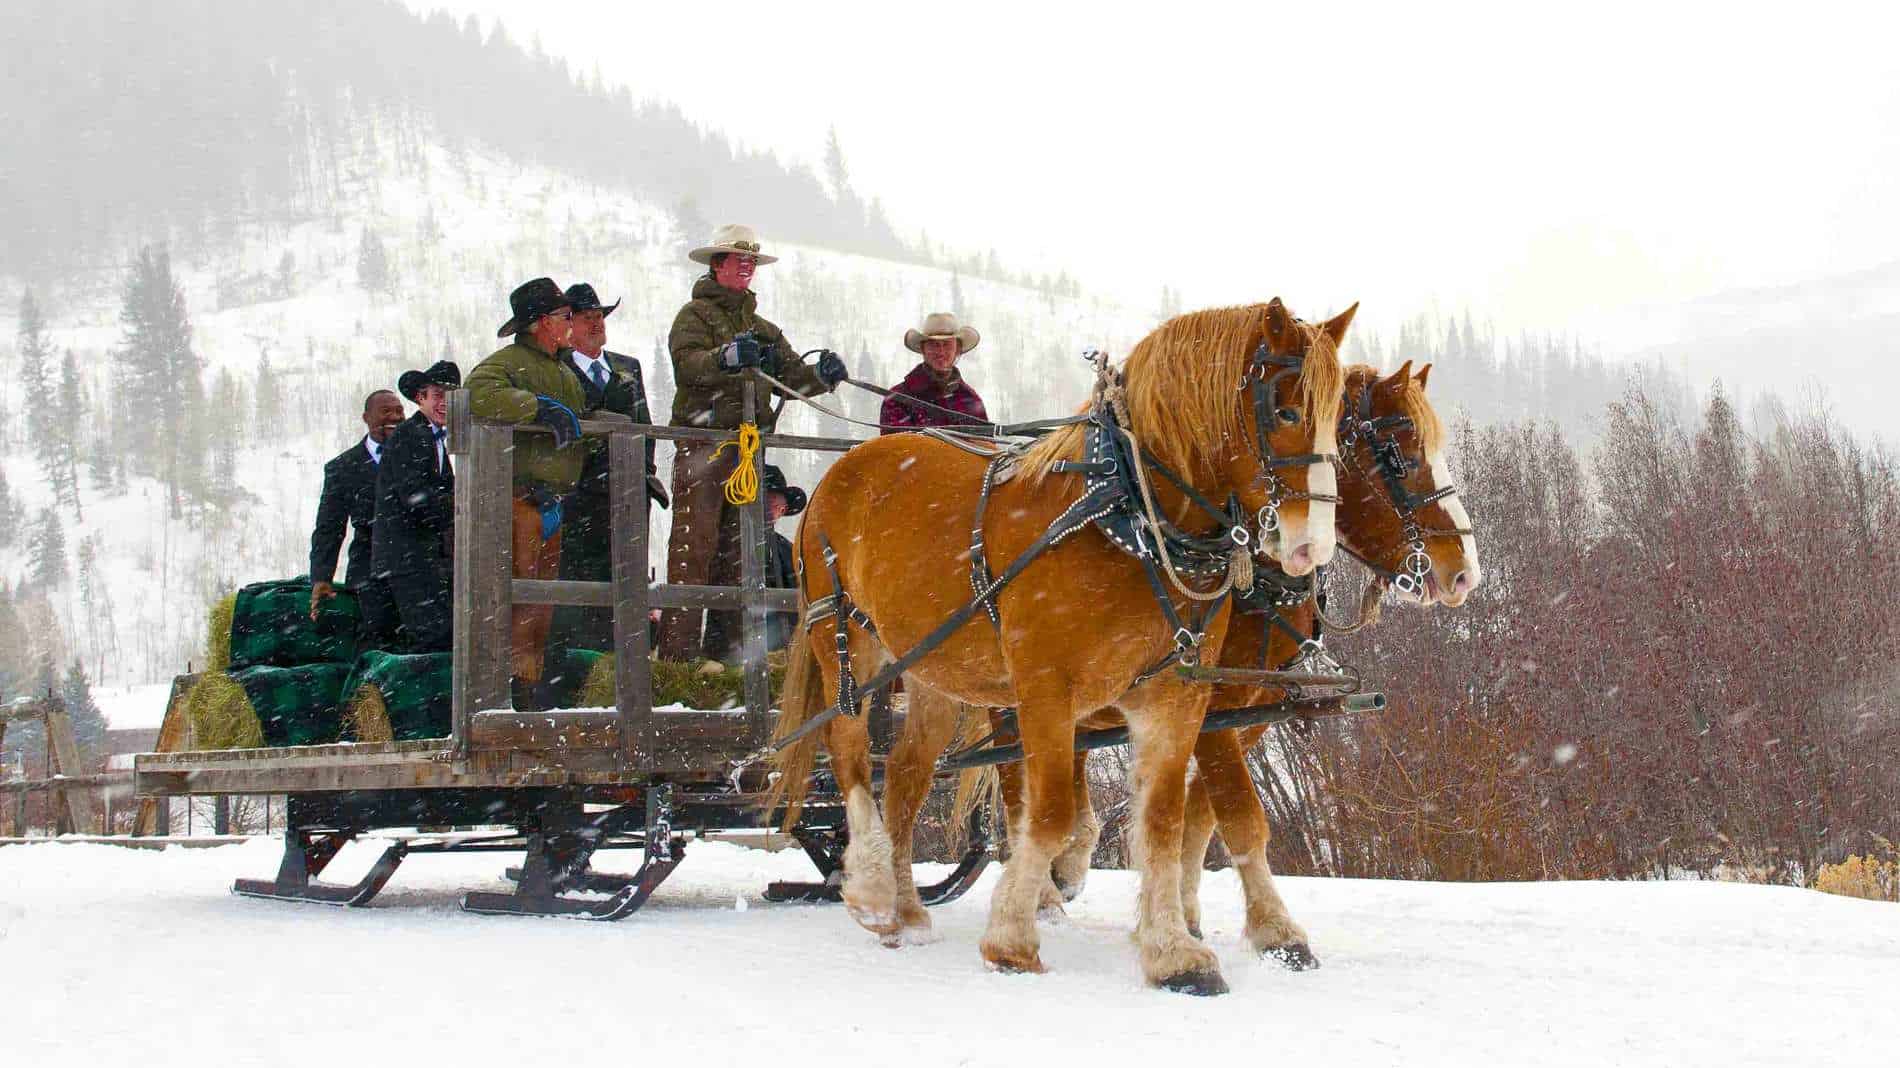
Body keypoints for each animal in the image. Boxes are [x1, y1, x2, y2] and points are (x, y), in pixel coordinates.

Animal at [771, 292, 1352, 988]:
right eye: (1285, 409)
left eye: (1338, 416)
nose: (1310, 547)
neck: (1128, 515)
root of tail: (842, 471)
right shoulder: (1046, 690)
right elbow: (1048, 813)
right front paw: (1013, 939)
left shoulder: (1177, 699)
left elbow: (1161, 820)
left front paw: (1172, 952)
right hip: (846, 637)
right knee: (851, 752)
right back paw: (874, 891)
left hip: (932, 669)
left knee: (907, 777)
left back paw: (907, 912)